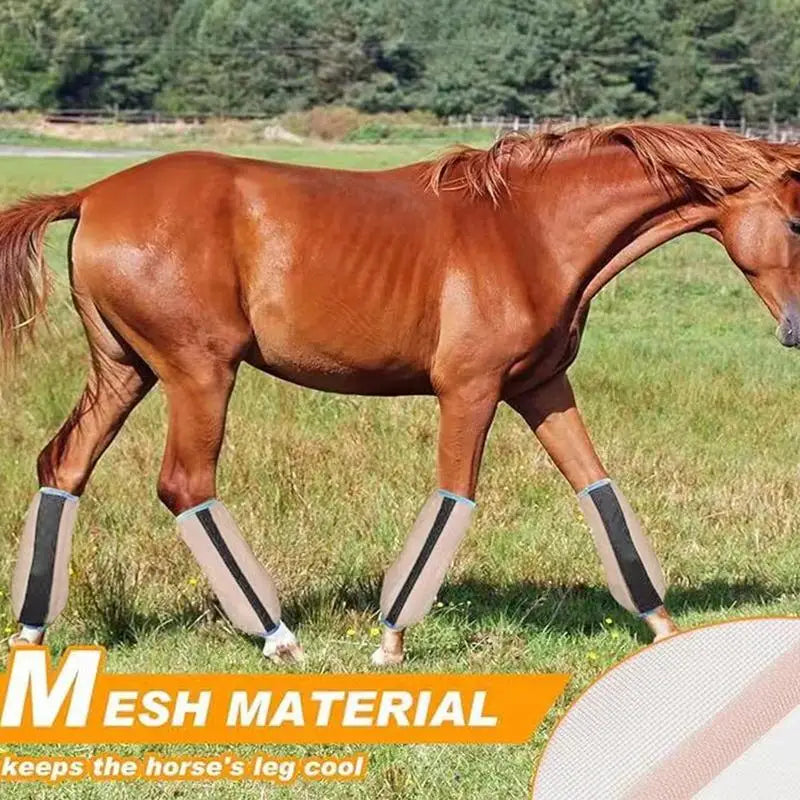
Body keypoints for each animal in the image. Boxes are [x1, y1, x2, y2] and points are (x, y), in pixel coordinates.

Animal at [1, 123, 798, 666]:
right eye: (795, 220)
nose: (796, 329)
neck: (526, 230)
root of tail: (90, 195)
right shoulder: (469, 392)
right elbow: (453, 500)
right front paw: (390, 640)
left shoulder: (541, 387)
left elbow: (598, 488)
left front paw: (663, 627)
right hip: (199, 374)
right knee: (184, 485)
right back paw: (279, 637)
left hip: (124, 373)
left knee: (62, 467)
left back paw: (33, 632)